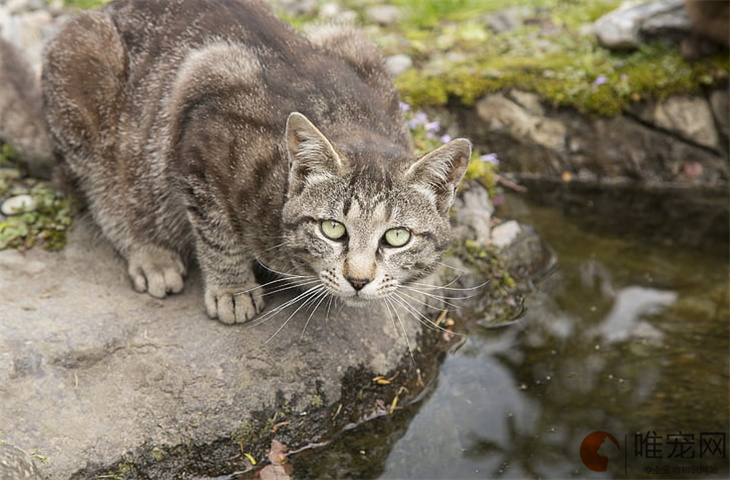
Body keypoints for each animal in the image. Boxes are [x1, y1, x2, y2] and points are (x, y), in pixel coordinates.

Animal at [0, 0, 470, 324]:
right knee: (99, 193)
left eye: (396, 237)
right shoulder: (201, 115)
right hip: (84, 80)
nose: (358, 279)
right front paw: (232, 288)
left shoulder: (359, 48)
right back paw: (150, 250)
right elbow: (215, 229)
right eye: (333, 229)